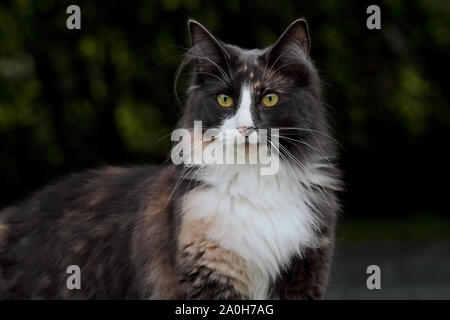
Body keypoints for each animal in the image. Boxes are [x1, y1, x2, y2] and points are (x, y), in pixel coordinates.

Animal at [0, 18, 342, 300]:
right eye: (225, 99)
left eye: (269, 98)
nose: (245, 128)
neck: (253, 179)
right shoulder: (207, 273)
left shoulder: (304, 270)